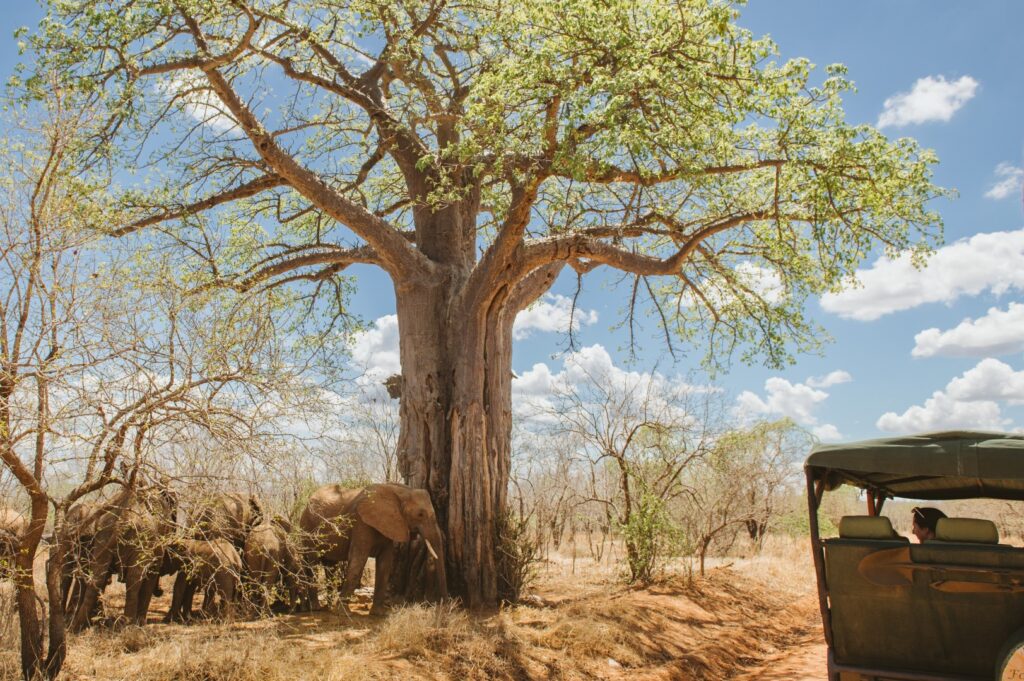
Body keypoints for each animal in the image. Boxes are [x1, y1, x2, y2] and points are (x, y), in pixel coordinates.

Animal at [69, 485, 177, 630]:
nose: (160, 591)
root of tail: (122, 520)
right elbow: (152, 572)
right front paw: (141, 624)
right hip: (140, 539)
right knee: (134, 579)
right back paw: (129, 625)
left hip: (103, 535)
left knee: (98, 576)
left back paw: (77, 627)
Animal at [299, 481, 446, 614]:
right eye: (420, 514)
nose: (444, 603)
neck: (399, 491)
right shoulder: (361, 522)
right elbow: (358, 561)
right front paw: (343, 612)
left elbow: (385, 564)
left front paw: (379, 613)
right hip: (308, 529)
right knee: (312, 564)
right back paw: (317, 608)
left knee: (330, 566)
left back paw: (329, 607)